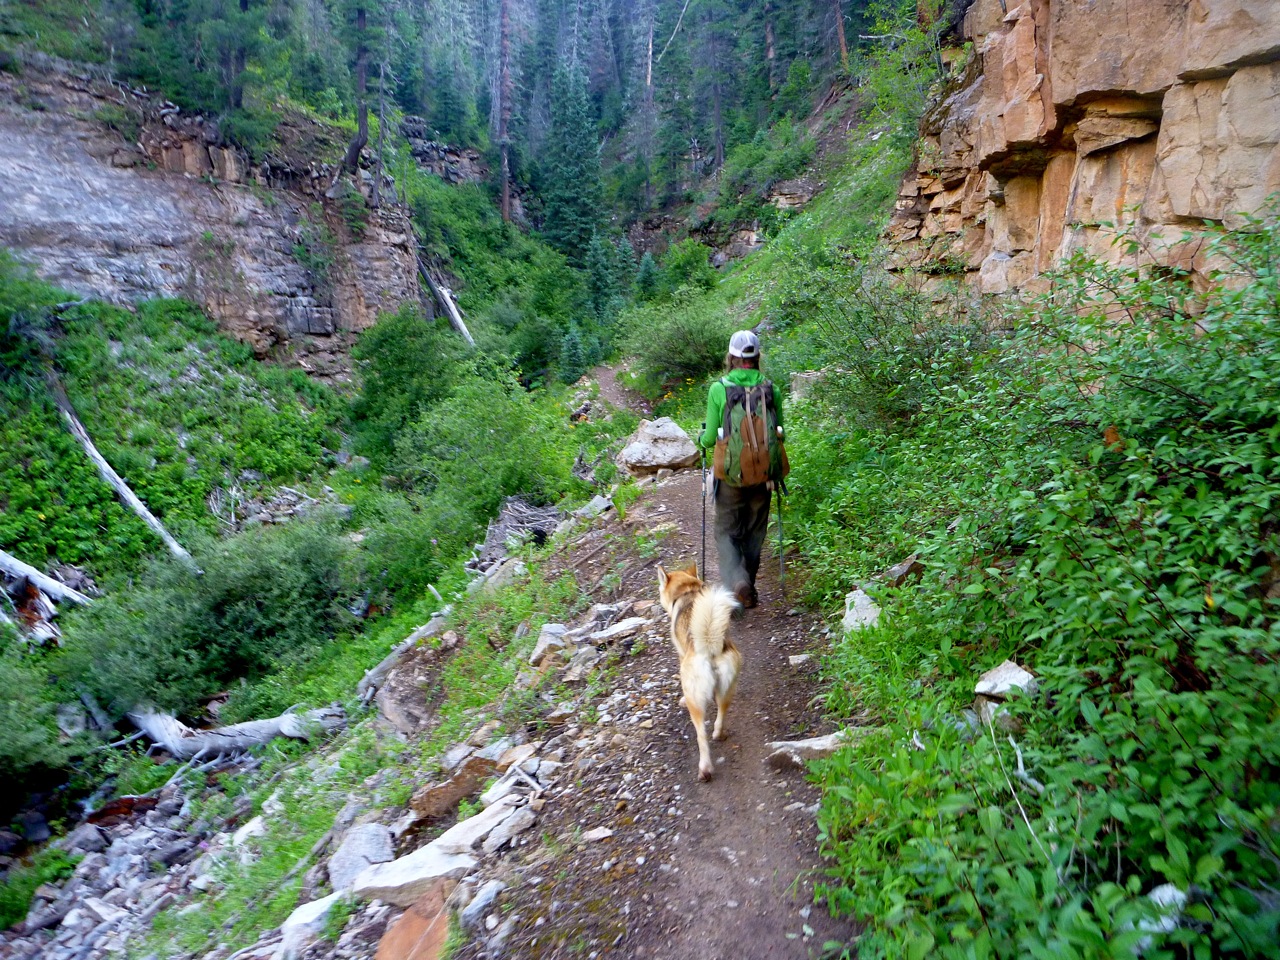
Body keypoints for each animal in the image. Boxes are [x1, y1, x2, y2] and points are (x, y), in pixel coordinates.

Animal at [656, 563, 743, 781]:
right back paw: (720, 734)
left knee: (701, 736)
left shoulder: (680, 653)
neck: (687, 591)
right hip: (728, 689)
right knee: (720, 716)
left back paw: (705, 770)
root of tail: (709, 647)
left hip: (695, 703)